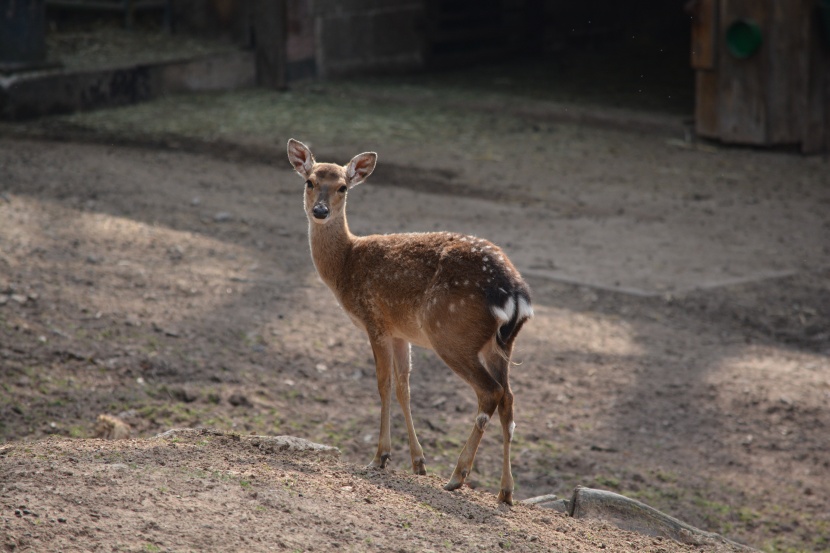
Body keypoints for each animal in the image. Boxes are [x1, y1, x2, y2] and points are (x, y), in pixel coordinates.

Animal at [286, 139, 532, 504]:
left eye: (343, 187)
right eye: (309, 182)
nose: (320, 211)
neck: (345, 265)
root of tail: (515, 293)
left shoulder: (375, 320)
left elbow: (383, 384)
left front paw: (380, 456)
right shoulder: (400, 331)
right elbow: (405, 387)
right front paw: (417, 462)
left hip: (452, 333)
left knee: (490, 392)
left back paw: (457, 476)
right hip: (500, 345)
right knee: (509, 400)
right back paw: (505, 491)